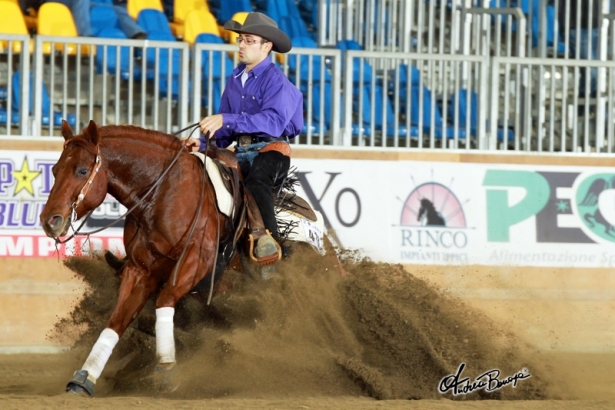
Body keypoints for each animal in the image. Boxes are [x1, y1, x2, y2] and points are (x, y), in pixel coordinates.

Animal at [39, 120, 236, 396]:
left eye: (81, 170)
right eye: (55, 170)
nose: (50, 221)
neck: (162, 193)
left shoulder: (197, 261)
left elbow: (164, 300)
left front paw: (166, 367)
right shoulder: (140, 269)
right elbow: (118, 319)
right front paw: (85, 376)